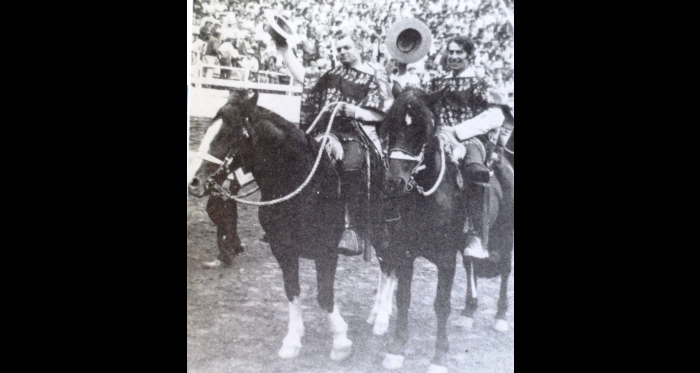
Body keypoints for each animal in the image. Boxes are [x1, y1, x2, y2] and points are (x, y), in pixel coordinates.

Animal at [378, 88, 516, 372]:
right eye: (390, 126)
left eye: (423, 130)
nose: (395, 182)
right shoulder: (405, 253)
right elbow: (403, 298)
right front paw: (396, 349)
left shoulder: (445, 258)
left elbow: (441, 304)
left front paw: (439, 356)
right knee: (471, 263)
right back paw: (468, 312)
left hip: (506, 234)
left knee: (506, 270)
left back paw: (499, 316)